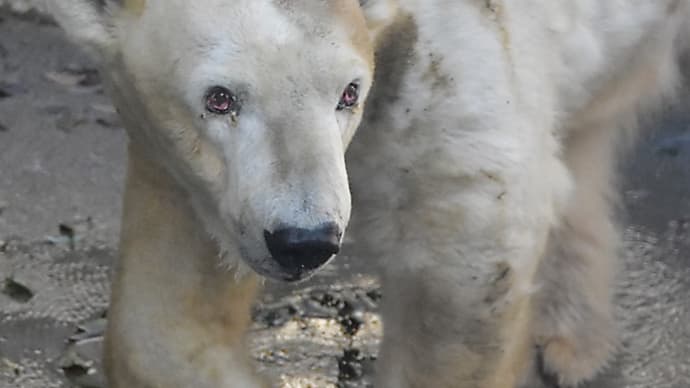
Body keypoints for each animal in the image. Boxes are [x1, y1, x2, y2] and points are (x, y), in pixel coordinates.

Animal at [49, 0, 688, 388]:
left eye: (349, 92)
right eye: (220, 98)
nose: (303, 241)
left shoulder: (449, 82)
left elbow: (468, 273)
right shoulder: (198, 174)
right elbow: (164, 324)